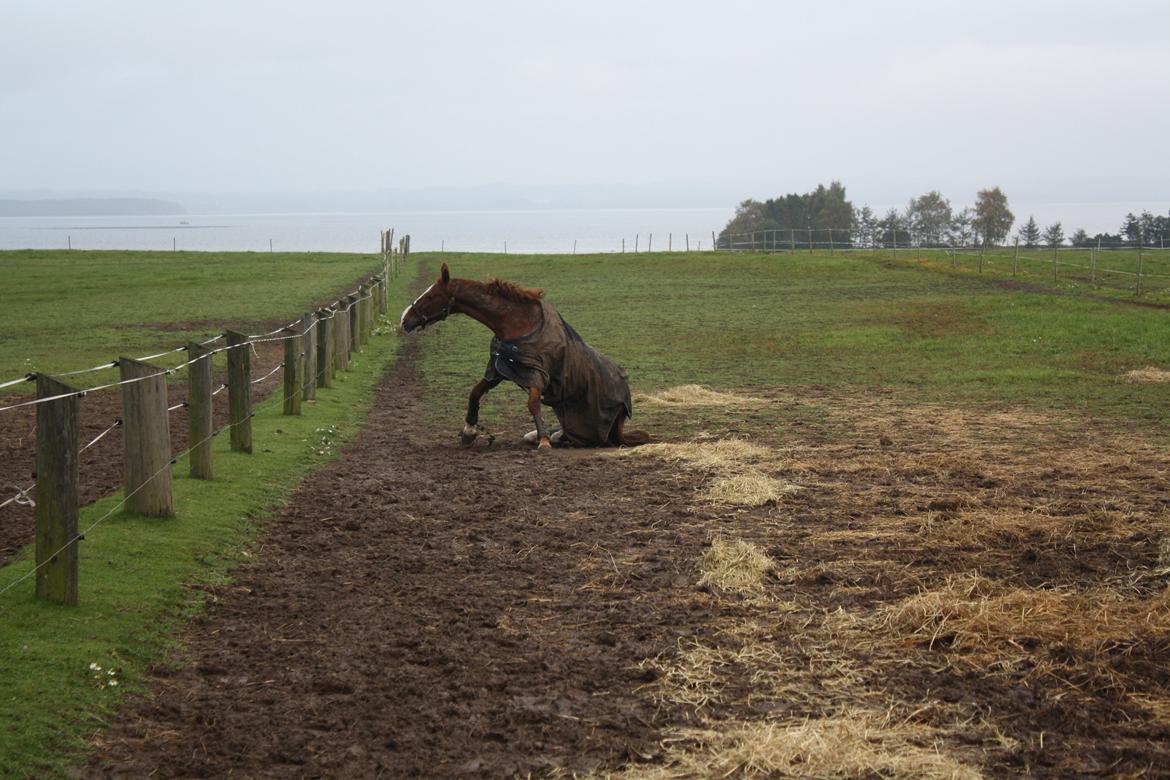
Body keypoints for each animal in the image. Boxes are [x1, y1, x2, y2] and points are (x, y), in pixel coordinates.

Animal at [400, 261, 650, 449]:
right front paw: (469, 431)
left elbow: (532, 404)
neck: (517, 325)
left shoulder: (536, 374)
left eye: (430, 297)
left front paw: (543, 440)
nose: (404, 319)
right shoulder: (499, 369)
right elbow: (475, 393)